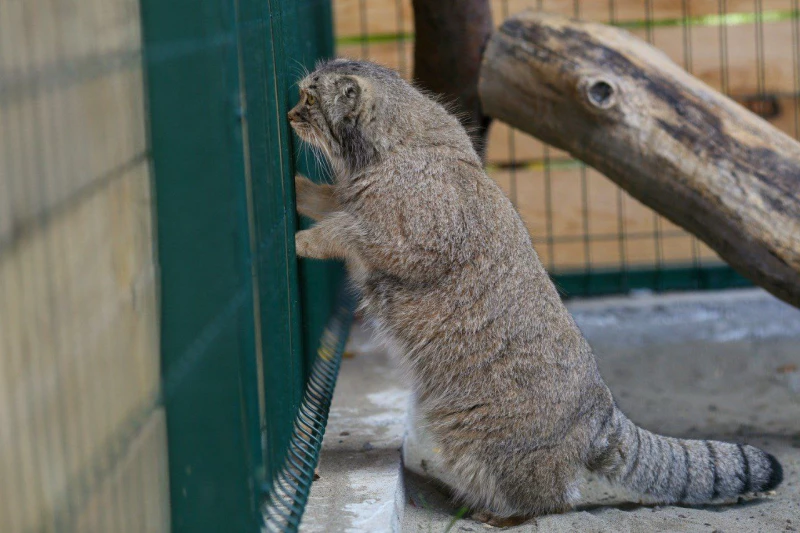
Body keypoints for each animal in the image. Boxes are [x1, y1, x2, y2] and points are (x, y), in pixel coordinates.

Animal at [288, 58, 780, 524]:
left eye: (309, 99)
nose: (289, 114)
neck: (390, 146)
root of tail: (604, 412)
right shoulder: (352, 201)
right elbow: (325, 199)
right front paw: (295, 188)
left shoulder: (404, 242)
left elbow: (340, 232)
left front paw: (302, 240)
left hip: (487, 445)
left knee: (555, 500)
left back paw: (497, 514)